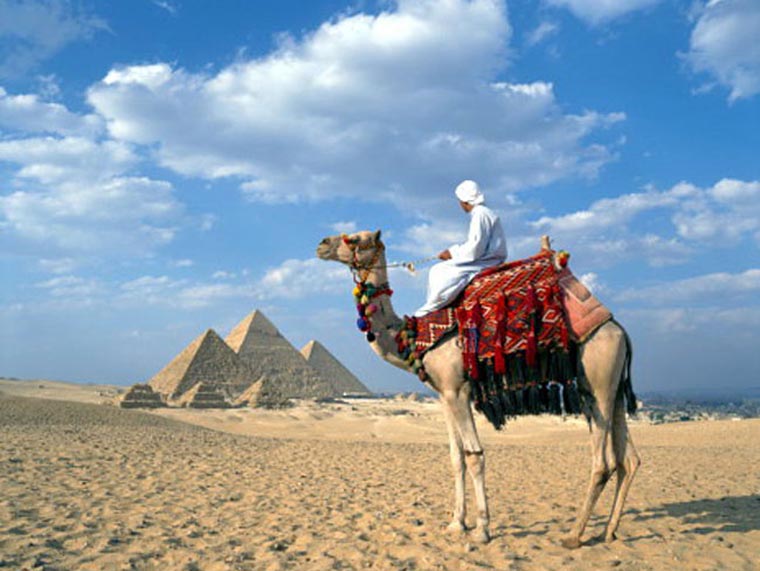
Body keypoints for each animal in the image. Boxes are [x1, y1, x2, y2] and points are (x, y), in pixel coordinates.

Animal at [314, 231, 640, 548]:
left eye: (356, 239)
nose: (322, 244)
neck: (414, 338)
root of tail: (620, 330)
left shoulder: (457, 390)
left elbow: (474, 455)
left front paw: (482, 529)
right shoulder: (444, 394)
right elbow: (455, 457)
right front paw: (456, 523)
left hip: (597, 382)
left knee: (603, 463)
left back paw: (573, 535)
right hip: (610, 387)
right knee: (628, 459)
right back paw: (608, 531)